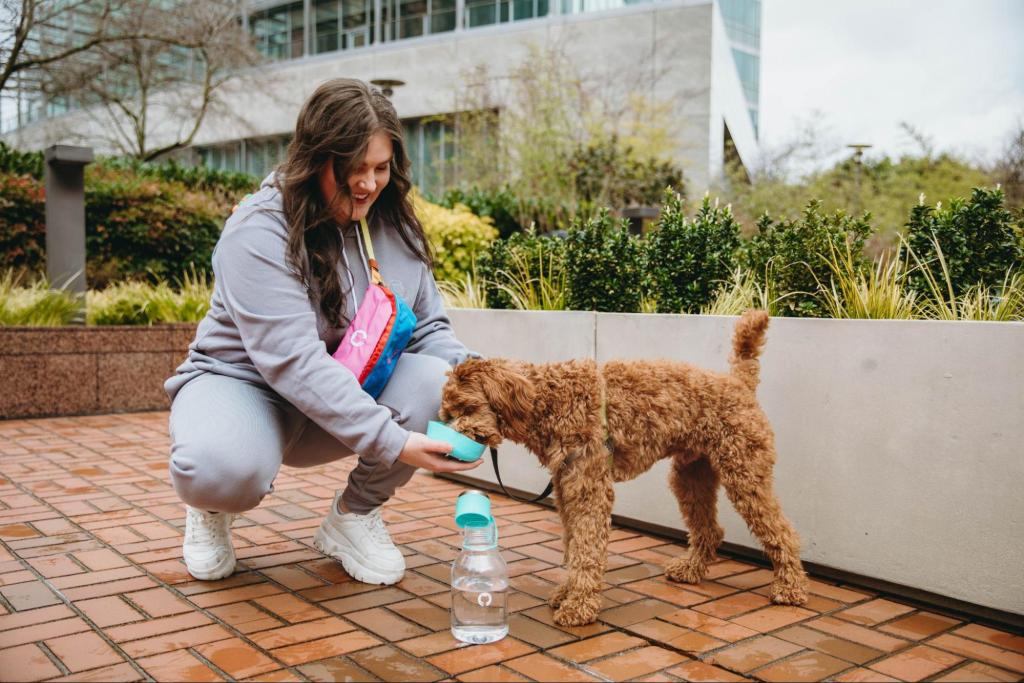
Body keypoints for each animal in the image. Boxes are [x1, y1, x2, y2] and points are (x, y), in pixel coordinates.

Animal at [440, 313, 806, 626]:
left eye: (467, 407)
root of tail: (738, 382)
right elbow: (572, 545)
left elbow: (586, 549)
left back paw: (790, 586)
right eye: (447, 414)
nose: (453, 439)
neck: (549, 401)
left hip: (744, 472)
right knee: (710, 530)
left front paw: (579, 606)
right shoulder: (566, 489)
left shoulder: (588, 489)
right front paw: (567, 593)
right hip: (691, 476)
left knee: (782, 531)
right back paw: (690, 569)